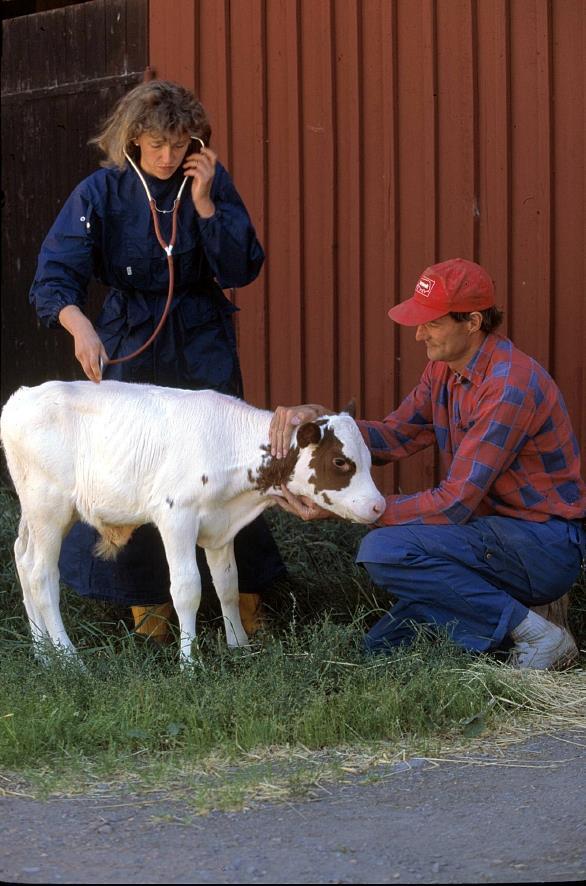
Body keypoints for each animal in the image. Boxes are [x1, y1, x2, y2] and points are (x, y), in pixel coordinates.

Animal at [2, 382, 386, 664]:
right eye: (340, 461)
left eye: (369, 458)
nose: (379, 506)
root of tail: (21, 397)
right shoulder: (176, 516)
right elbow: (187, 589)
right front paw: (189, 662)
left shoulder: (220, 526)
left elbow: (228, 584)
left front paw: (239, 646)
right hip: (48, 507)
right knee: (42, 575)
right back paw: (68, 659)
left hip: (39, 512)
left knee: (23, 557)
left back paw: (42, 653)